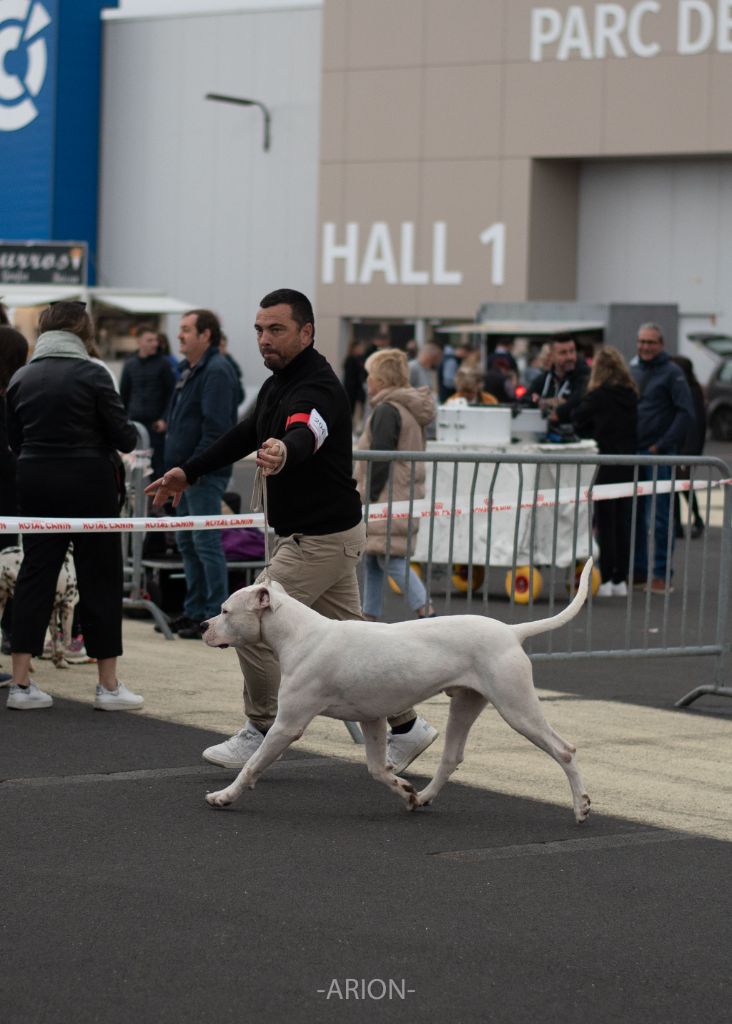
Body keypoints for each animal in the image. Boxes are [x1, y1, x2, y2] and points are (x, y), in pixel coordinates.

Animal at [201, 561, 593, 823]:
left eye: (225, 610)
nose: (203, 625)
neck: (300, 634)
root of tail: (512, 631)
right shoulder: (372, 720)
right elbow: (378, 769)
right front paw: (403, 789)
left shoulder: (287, 726)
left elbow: (252, 764)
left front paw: (224, 796)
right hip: (465, 705)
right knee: (451, 758)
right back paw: (423, 798)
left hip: (517, 708)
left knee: (564, 751)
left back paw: (581, 806)